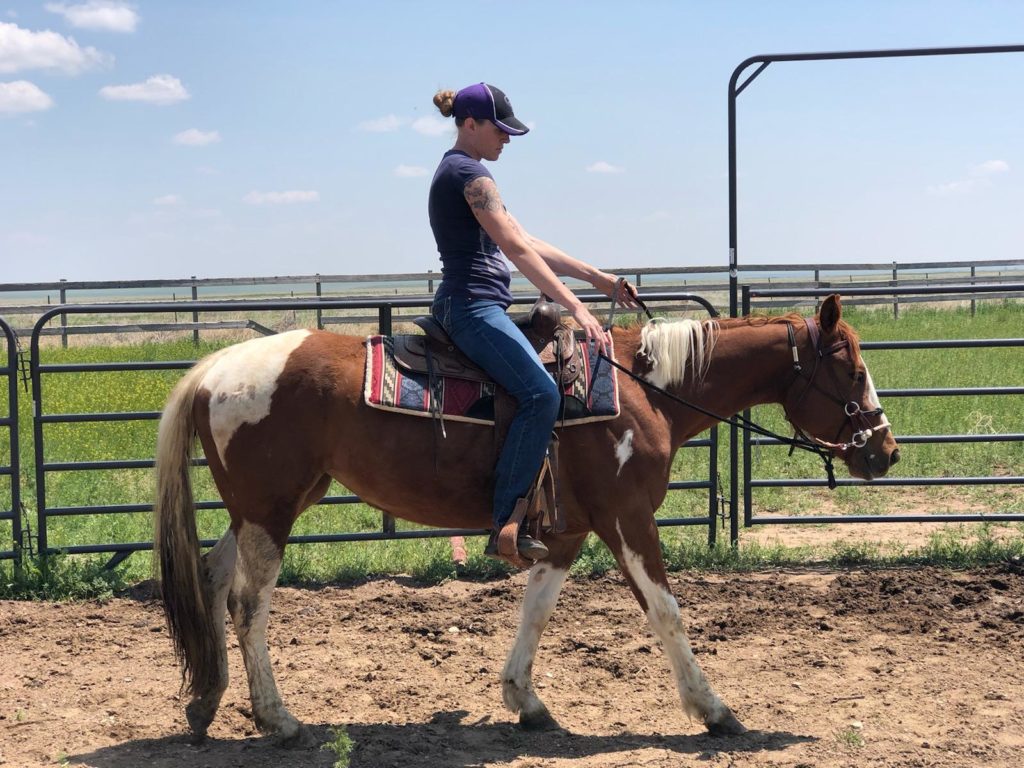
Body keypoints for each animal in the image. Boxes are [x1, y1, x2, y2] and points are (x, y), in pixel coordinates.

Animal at [149, 292, 897, 745]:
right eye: (852, 368)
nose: (886, 450)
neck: (645, 391)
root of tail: (216, 368)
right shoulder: (627, 518)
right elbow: (666, 612)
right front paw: (714, 711)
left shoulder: (565, 532)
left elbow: (536, 612)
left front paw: (525, 701)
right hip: (270, 513)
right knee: (248, 603)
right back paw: (277, 717)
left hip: (262, 509)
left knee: (212, 579)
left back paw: (207, 701)